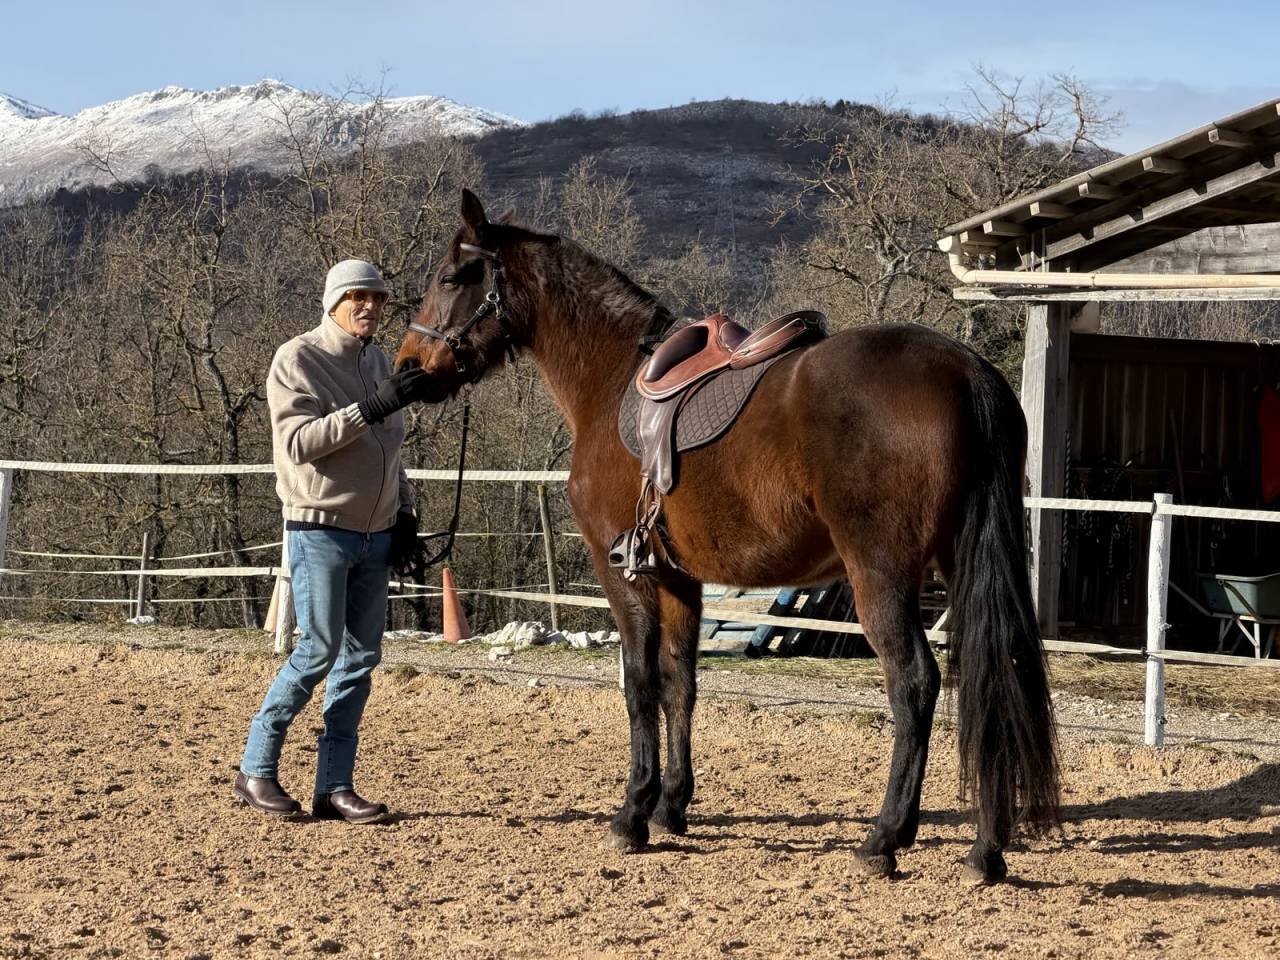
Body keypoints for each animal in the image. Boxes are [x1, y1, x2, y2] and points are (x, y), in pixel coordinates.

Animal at [394, 189, 1059, 883]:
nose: (408, 366)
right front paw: (671, 807)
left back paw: (884, 838)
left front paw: (633, 813)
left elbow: (639, 685)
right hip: (962, 566)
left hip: (882, 574)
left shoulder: (622, 573)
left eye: (452, 277)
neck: (611, 378)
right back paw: (985, 850)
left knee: (915, 685)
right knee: (993, 679)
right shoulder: (678, 579)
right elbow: (681, 684)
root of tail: (965, 370)